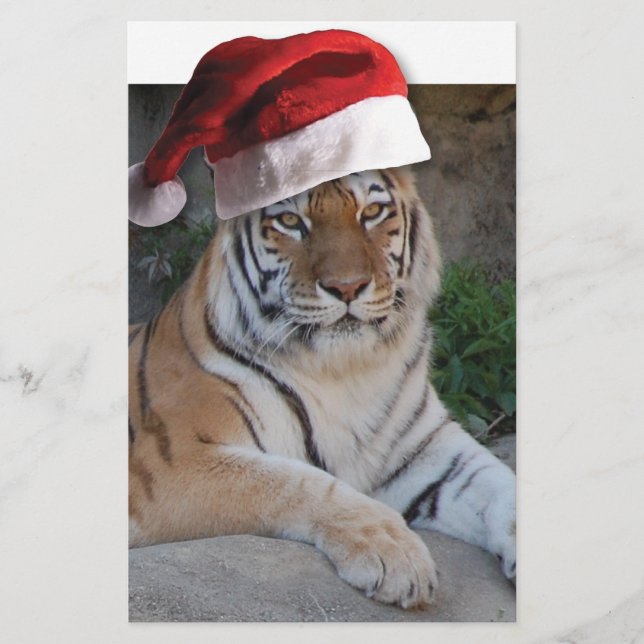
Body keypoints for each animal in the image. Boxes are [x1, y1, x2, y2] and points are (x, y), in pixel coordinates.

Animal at [128, 167, 516, 610]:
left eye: (373, 212)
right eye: (290, 221)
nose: (347, 287)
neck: (346, 369)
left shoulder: (428, 448)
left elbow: (501, 483)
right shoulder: (170, 463)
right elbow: (297, 482)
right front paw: (396, 554)